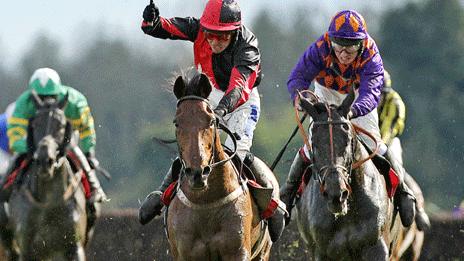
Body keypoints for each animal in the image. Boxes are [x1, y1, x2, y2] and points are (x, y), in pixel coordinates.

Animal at [7, 92, 88, 258]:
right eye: (35, 124)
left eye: (61, 125)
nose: (45, 160)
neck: (49, 201)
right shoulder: (26, 250)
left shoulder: (75, 246)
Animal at [165, 70, 270, 258]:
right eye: (176, 123)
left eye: (212, 121)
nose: (198, 173)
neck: (206, 202)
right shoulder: (186, 253)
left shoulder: (237, 252)